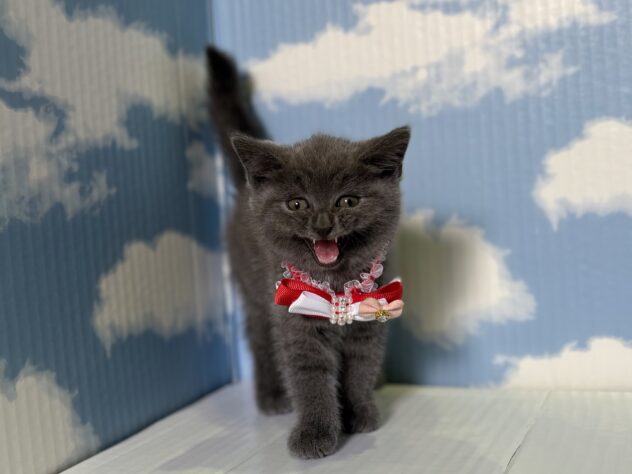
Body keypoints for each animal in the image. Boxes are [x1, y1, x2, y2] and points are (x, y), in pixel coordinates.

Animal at [206, 46, 410, 459]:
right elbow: (310, 377)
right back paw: (271, 396)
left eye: (347, 200)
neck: (336, 285)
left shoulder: (371, 314)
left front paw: (361, 412)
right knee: (259, 340)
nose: (322, 223)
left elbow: (361, 368)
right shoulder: (294, 319)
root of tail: (245, 187)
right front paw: (315, 433)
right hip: (253, 291)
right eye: (297, 204)